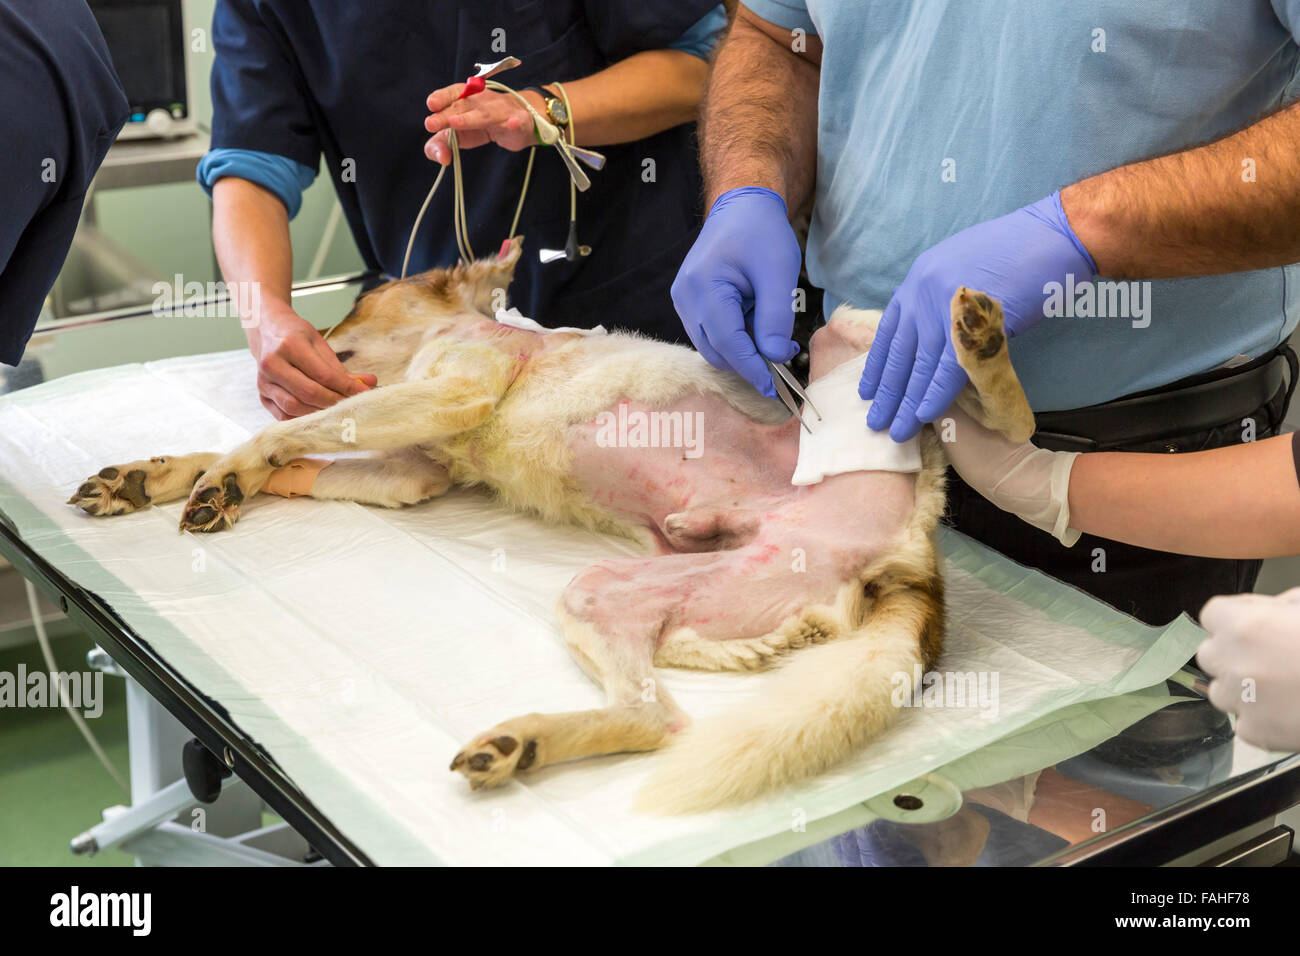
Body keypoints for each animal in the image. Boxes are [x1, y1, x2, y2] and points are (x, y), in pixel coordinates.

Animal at [68, 239, 1034, 816]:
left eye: (359, 302)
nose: (296, 334)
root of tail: (917, 557)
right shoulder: (413, 471)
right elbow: (296, 453)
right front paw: (161, 477)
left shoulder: (453, 392)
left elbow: (292, 429)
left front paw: (228, 472)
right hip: (622, 594)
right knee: (654, 720)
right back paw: (518, 744)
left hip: (858, 354)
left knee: (1009, 425)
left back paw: (980, 333)